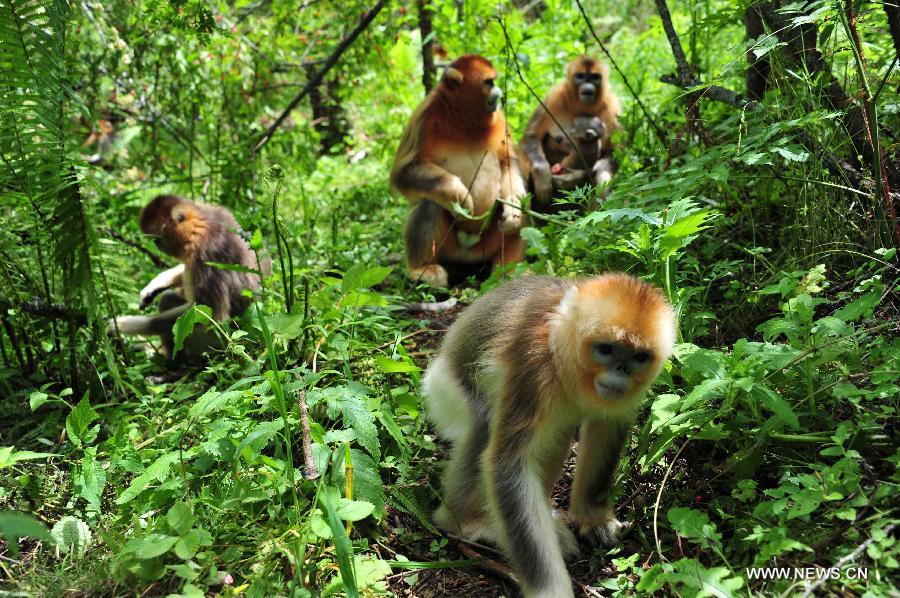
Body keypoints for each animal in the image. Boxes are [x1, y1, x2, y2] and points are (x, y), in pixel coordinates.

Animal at [388, 55, 528, 288]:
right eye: (489, 82)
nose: (499, 93)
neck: (464, 122)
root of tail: (467, 247)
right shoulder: (423, 117)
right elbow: (404, 171)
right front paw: (459, 196)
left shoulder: (498, 118)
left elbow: (509, 161)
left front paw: (513, 211)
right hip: (448, 248)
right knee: (429, 204)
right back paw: (422, 269)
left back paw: (509, 273)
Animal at [426, 274, 672, 596]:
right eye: (606, 349)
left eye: (639, 357)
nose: (621, 371)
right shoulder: (534, 366)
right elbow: (508, 464)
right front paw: (550, 589)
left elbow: (607, 425)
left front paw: (593, 518)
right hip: (446, 390)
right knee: (484, 426)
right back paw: (467, 523)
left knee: (555, 438)